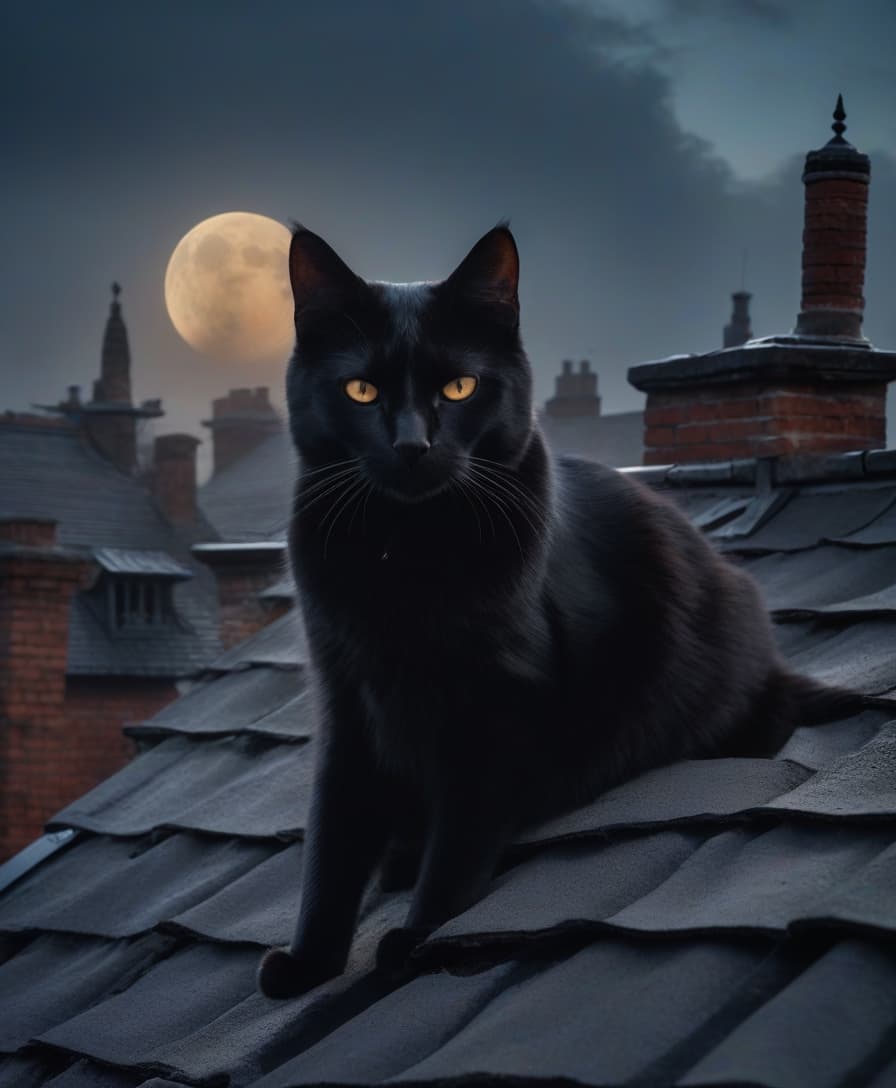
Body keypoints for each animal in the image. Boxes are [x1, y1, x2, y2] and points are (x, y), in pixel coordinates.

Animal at [258, 225, 861, 996]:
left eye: (460, 387)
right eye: (360, 391)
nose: (412, 445)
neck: (407, 552)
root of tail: (776, 669)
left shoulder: (500, 704)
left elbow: (462, 833)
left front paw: (419, 937)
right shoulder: (347, 697)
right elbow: (334, 835)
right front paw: (309, 961)